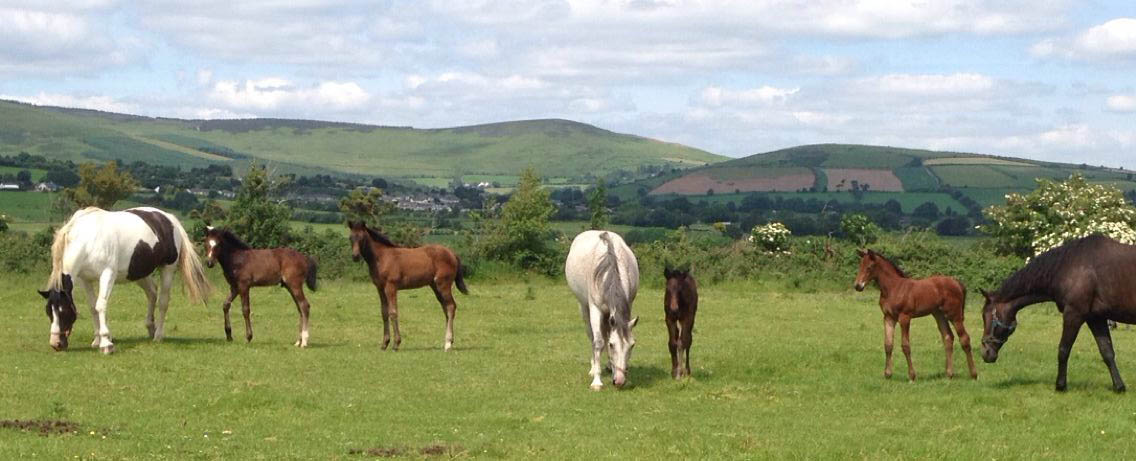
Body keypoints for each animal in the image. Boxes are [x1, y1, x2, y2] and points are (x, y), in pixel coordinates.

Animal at [38, 206, 211, 354]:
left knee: (163, 301)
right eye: (48, 312)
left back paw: (158, 335)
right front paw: (97, 340)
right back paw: (150, 327)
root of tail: (169, 218)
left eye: (64, 311)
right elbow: (92, 307)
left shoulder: (107, 274)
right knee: (152, 293)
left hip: (167, 268)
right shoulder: (85, 279)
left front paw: (106, 343)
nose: (56, 344)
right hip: (139, 273)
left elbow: (101, 305)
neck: (87, 240)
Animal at [347, 221, 468, 351]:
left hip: (443, 285)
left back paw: (448, 343)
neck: (382, 257)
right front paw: (384, 343)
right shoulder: (380, 288)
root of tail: (452, 253)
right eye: (351, 237)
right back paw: (448, 341)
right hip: (435, 287)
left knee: (451, 306)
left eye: (362, 237)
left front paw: (396, 344)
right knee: (446, 309)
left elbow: (393, 312)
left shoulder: (391, 287)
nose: (355, 256)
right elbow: (384, 313)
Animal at [565, 230, 640, 388]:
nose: (620, 381)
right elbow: (599, 342)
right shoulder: (595, 309)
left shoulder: (627, 305)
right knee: (592, 336)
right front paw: (597, 382)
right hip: (584, 308)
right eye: (612, 345)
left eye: (632, 345)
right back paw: (594, 368)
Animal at [854, 249, 976, 379]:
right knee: (948, 337)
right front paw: (887, 374)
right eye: (860, 265)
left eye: (870, 267)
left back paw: (974, 374)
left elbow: (905, 345)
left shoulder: (905, 317)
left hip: (954, 315)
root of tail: (957, 283)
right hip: (939, 314)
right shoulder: (888, 317)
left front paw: (912, 376)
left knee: (965, 338)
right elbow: (888, 345)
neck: (894, 288)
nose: (857, 286)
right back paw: (949, 374)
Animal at [976, 233, 1136, 392]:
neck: (1070, 266)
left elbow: (1063, 350)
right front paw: (1119, 386)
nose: (985, 352)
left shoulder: (1073, 314)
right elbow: (1107, 351)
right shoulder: (1096, 317)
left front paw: (1060, 385)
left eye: (987, 317)